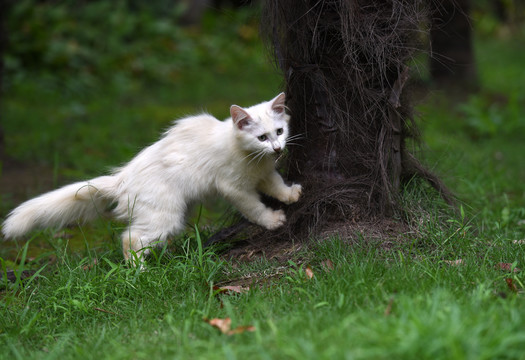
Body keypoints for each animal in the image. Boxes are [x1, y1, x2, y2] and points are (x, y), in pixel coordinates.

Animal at [0, 93, 300, 262]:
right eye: (261, 137)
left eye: (280, 132)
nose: (277, 149)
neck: (252, 157)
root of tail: (122, 178)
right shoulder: (233, 187)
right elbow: (254, 207)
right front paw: (272, 220)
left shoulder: (264, 173)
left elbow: (276, 185)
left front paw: (291, 194)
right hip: (165, 215)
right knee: (129, 239)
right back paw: (140, 272)